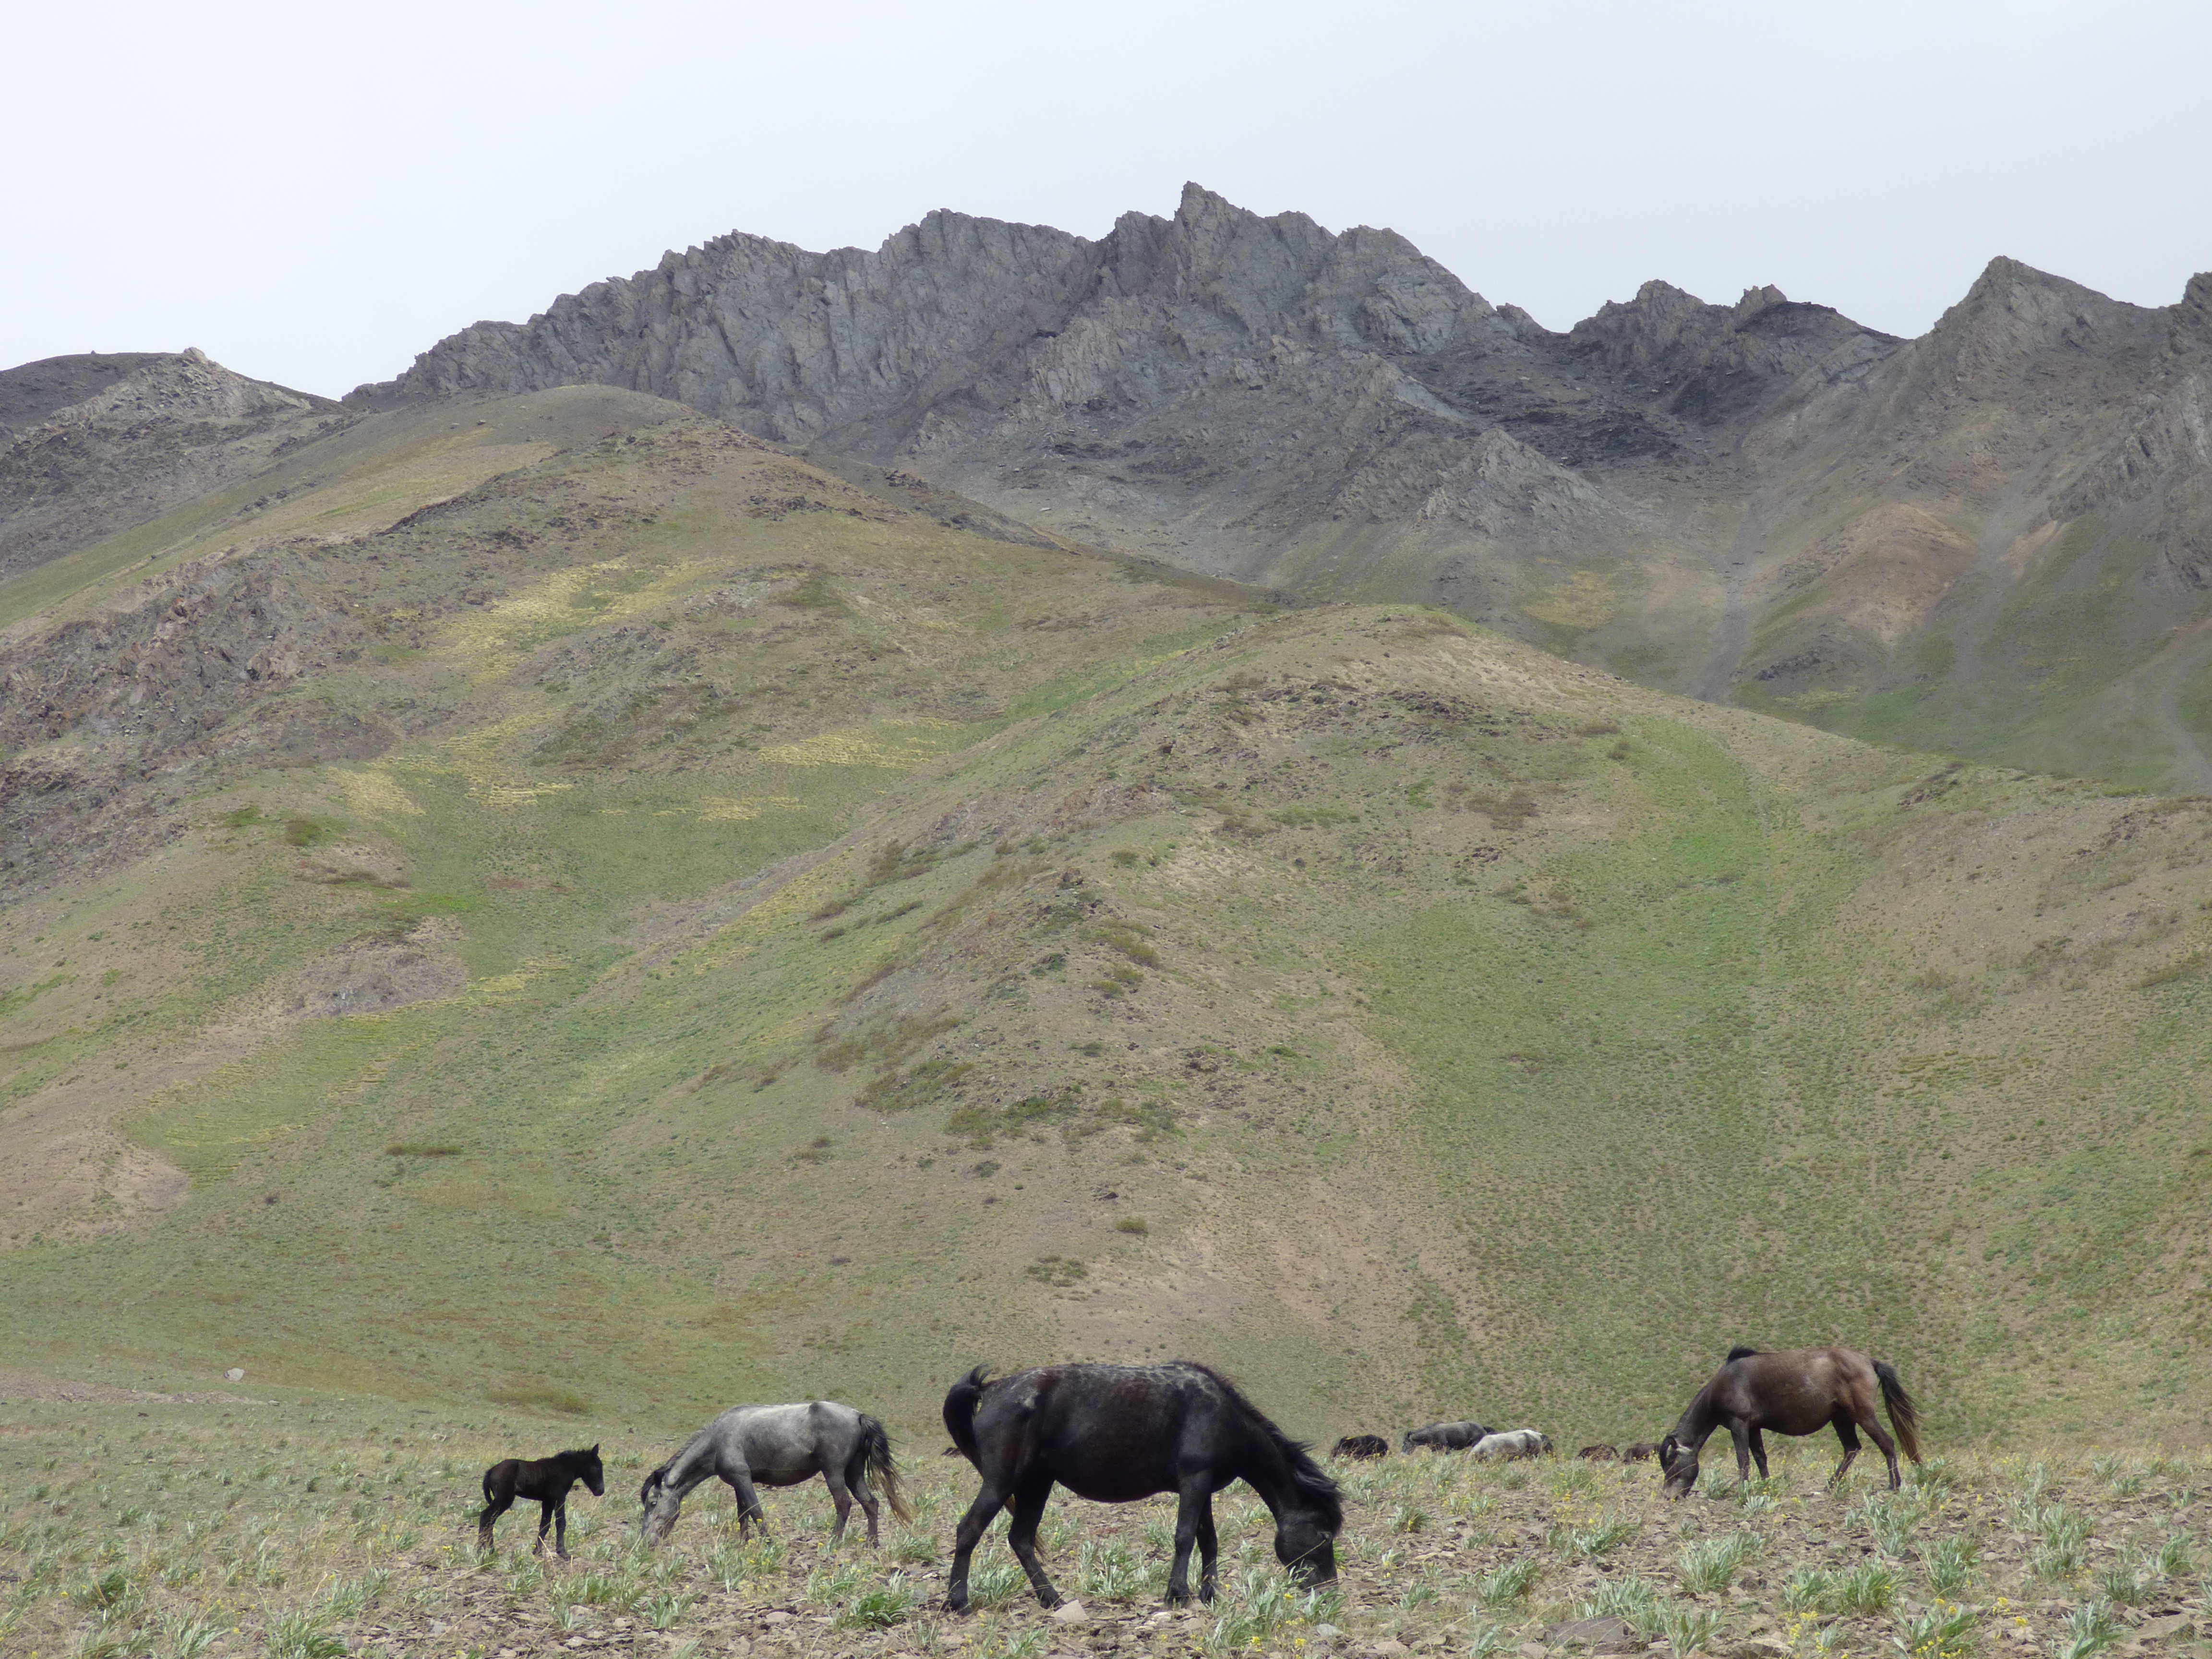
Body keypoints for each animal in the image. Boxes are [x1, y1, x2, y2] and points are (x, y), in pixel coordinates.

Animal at [477, 1444, 603, 1557]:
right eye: (595, 1468)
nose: (601, 1491)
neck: (565, 1467)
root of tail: (491, 1471)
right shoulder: (559, 1497)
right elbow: (561, 1522)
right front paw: (562, 1552)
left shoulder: (547, 1501)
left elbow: (545, 1524)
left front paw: (537, 1551)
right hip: (504, 1499)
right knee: (486, 1516)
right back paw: (483, 1550)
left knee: (491, 1520)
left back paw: (489, 1550)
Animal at [639, 1400, 909, 1545]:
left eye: (653, 1503)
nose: (645, 1542)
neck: (718, 1441)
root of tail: (858, 1416)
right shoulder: (738, 1483)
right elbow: (743, 1514)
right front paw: (744, 1544)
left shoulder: (743, 1478)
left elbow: (756, 1512)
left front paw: (768, 1543)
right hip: (854, 1473)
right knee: (871, 1503)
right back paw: (872, 1544)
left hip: (834, 1473)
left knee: (844, 1504)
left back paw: (833, 1542)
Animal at [942, 1362, 1341, 1611]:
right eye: (1324, 1536)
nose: (1328, 1593)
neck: (1222, 1416)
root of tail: (991, 1389)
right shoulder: (1194, 1480)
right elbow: (1184, 1537)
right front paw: (1178, 1593)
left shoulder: (1203, 1487)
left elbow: (1208, 1541)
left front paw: (1209, 1593)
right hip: (1002, 1483)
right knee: (969, 1530)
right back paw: (957, 1602)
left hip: (1036, 1484)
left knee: (1021, 1539)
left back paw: (1052, 1600)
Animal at [1658, 1346, 1921, 1496]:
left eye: (1672, 1464)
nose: (1670, 1497)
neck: (1725, 1384)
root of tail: (1869, 1361)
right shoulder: (1753, 1428)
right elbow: (1760, 1458)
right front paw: (1765, 1485)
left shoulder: (1739, 1424)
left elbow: (1743, 1458)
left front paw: (1742, 1489)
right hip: (1842, 1419)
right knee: (1852, 1449)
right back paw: (1830, 1486)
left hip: (1863, 1416)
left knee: (1886, 1443)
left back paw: (1894, 1486)